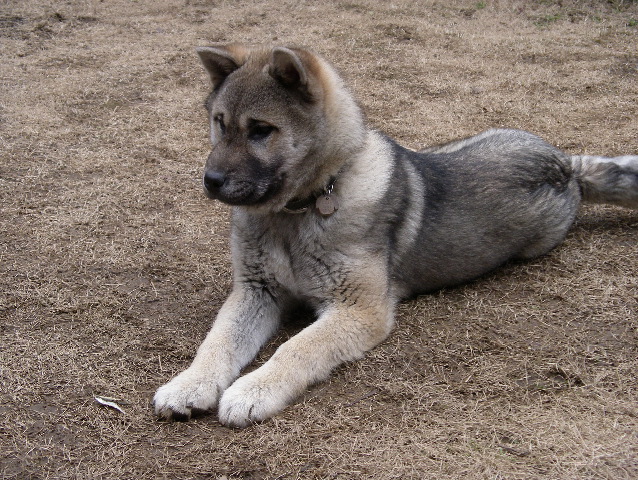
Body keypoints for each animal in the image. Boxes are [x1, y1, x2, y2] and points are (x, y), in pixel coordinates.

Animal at [155, 44, 638, 428]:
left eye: (261, 130)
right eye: (220, 122)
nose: (211, 181)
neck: (302, 209)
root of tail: (566, 164)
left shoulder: (358, 311)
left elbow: (296, 348)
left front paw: (253, 390)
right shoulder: (256, 291)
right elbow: (217, 342)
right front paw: (189, 384)